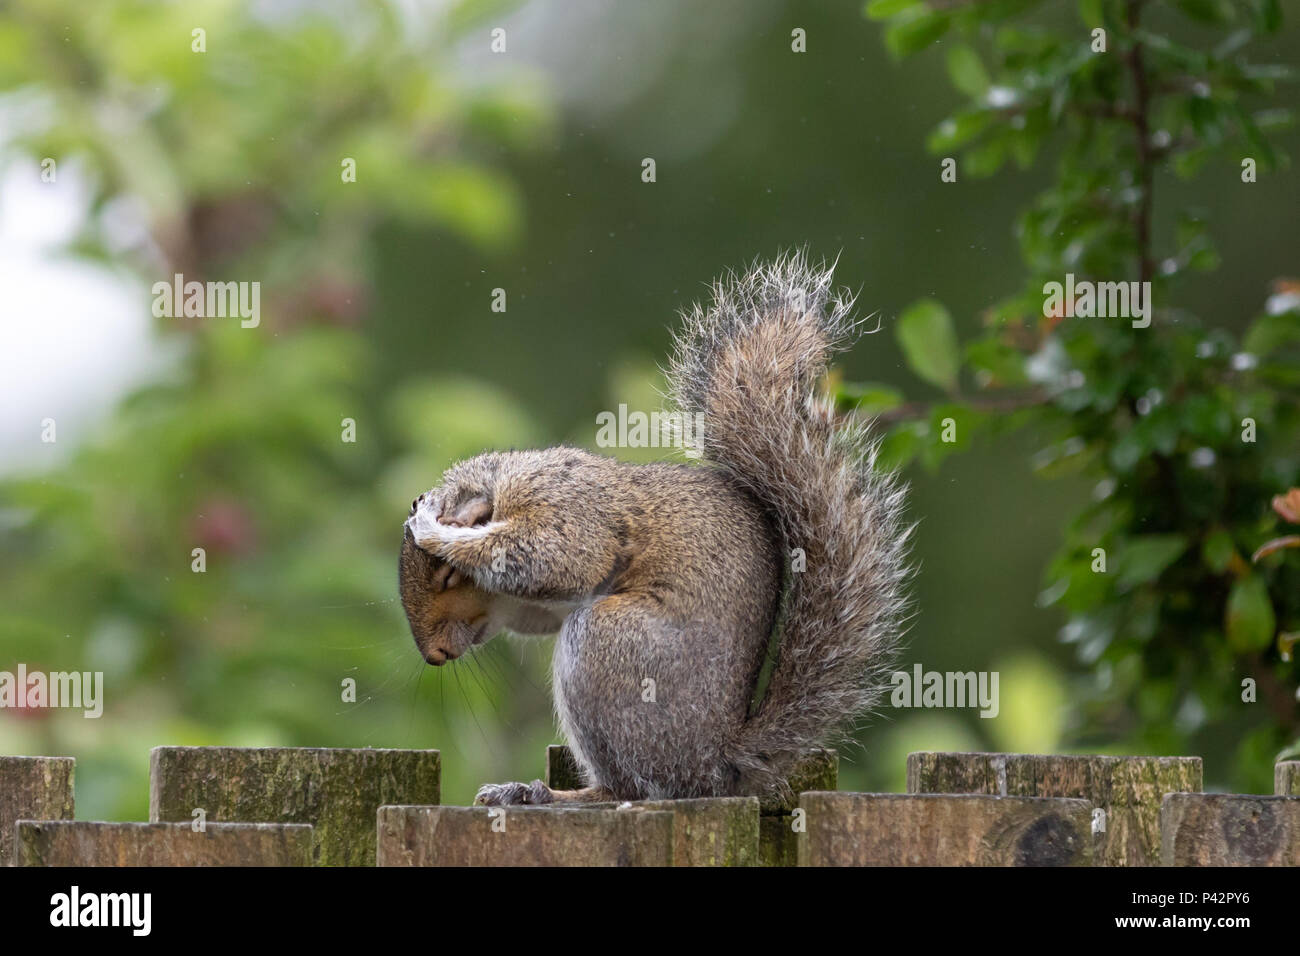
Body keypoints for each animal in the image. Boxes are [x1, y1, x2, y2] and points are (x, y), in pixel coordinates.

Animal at [399, 252, 910, 805]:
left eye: (447, 577)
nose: (435, 655)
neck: (506, 485)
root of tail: (718, 766)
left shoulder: (570, 511)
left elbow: (555, 557)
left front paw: (432, 527)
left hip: (608, 646)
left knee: (631, 787)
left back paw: (545, 794)